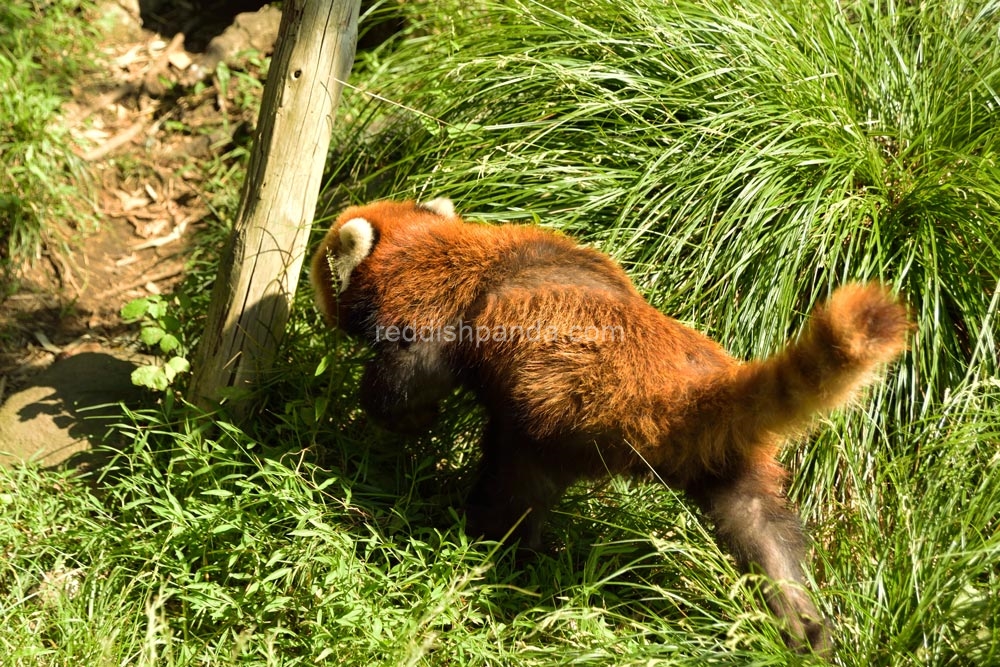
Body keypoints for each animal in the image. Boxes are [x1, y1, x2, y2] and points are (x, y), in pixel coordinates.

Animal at [308, 198, 912, 656]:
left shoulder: (439, 321)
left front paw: (410, 419)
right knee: (765, 535)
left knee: (513, 491)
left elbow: (403, 384)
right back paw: (807, 630)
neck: (441, 254)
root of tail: (674, 384)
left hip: (554, 423)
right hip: (730, 459)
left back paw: (484, 546)